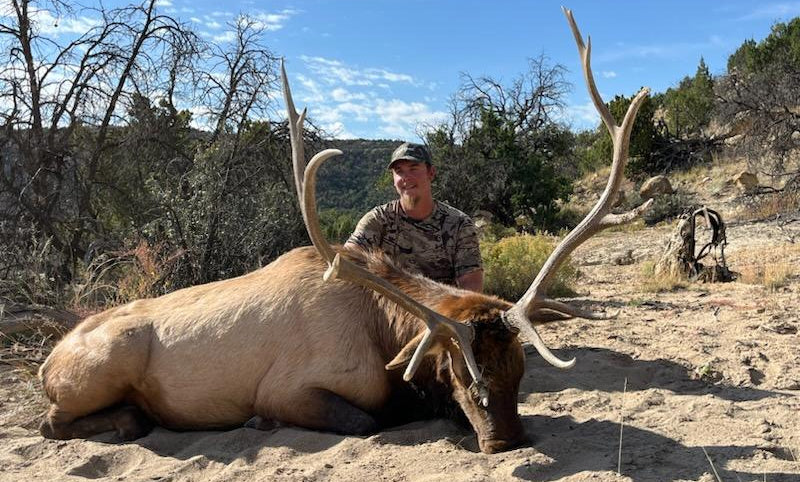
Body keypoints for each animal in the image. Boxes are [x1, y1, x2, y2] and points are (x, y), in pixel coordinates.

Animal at [37, 8, 652, 454]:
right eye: (459, 373)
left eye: (520, 370)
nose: (507, 441)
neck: (383, 332)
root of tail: (47, 361)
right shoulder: (288, 388)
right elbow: (363, 421)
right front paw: (260, 423)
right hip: (104, 363)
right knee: (52, 423)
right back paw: (129, 419)